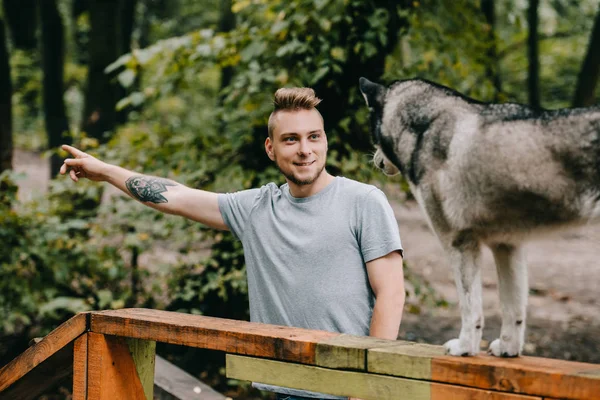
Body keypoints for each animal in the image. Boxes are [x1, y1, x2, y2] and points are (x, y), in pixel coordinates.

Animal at [358, 76, 596, 358]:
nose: (375, 161)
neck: (425, 128)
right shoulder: (507, 245)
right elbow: (513, 309)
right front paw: (508, 349)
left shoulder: (458, 242)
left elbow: (470, 308)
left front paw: (465, 347)